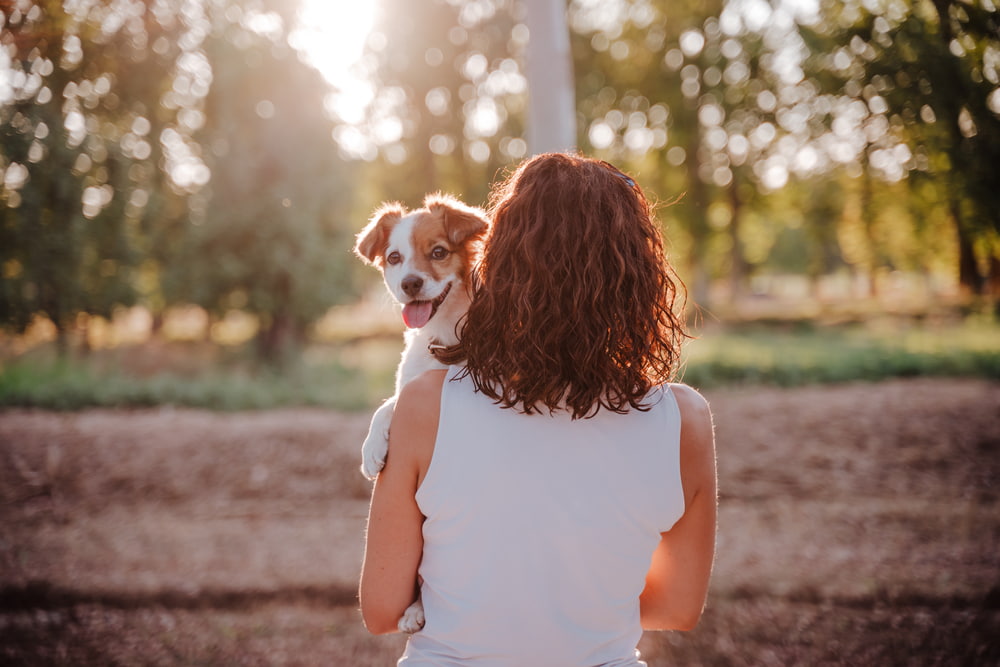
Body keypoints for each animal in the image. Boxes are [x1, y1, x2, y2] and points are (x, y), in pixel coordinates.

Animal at [356, 193, 488, 480]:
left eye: (439, 252)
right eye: (394, 257)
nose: (410, 283)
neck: (444, 336)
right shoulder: (410, 383)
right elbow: (387, 404)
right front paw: (371, 447)